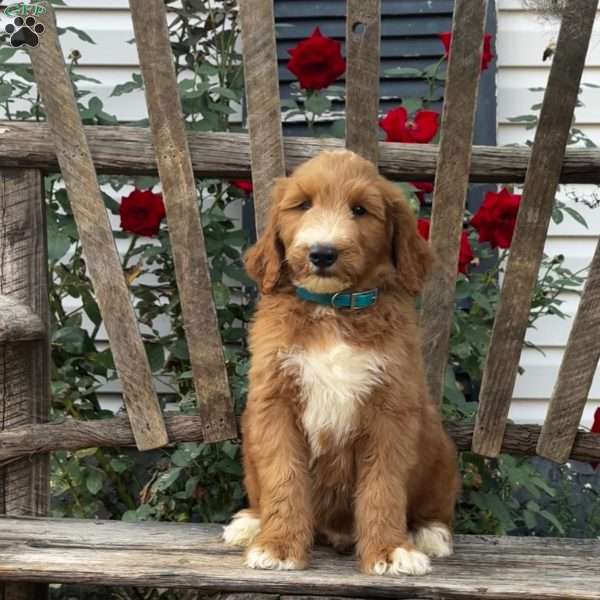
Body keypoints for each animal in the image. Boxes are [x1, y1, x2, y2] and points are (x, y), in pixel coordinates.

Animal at [223, 150, 462, 576]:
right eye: (303, 205)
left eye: (360, 210)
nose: (322, 253)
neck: (332, 310)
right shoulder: (274, 403)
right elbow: (283, 477)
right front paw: (279, 546)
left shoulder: (391, 408)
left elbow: (384, 486)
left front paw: (389, 550)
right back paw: (250, 522)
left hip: (438, 444)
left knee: (435, 504)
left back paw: (429, 533)